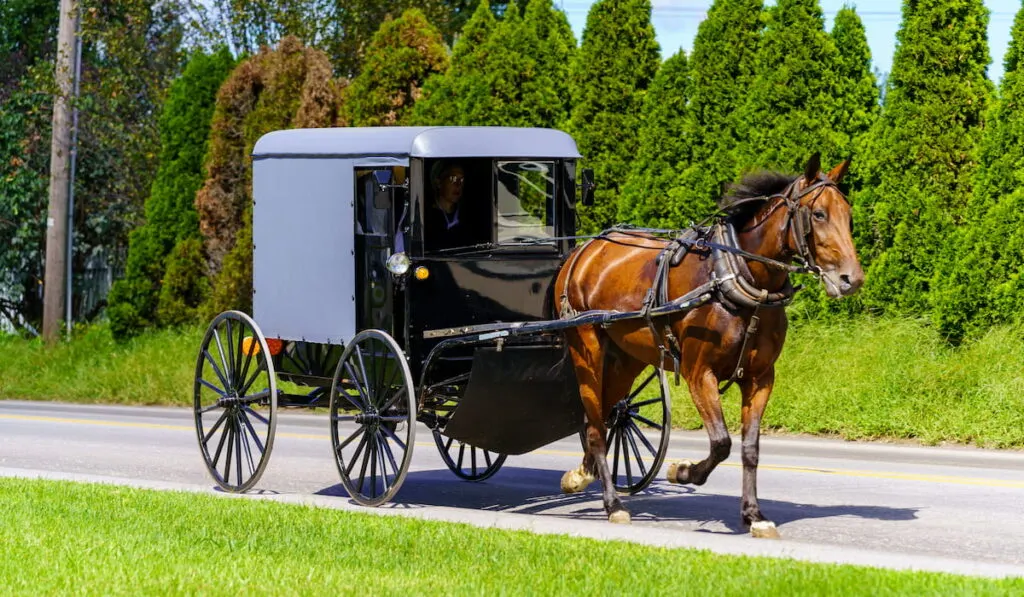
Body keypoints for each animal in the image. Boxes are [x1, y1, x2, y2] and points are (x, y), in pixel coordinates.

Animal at [552, 154, 864, 536]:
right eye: (818, 214)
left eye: (848, 214)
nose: (851, 279)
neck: (736, 277)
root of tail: (585, 250)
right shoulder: (700, 372)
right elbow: (721, 442)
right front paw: (683, 471)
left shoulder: (760, 378)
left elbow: (749, 448)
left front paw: (753, 514)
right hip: (587, 350)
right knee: (596, 427)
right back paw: (613, 505)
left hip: (627, 358)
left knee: (605, 415)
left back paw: (582, 474)